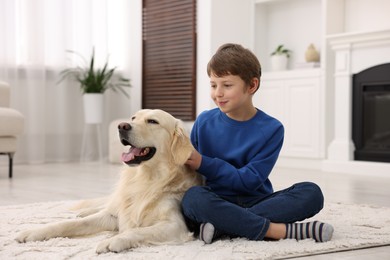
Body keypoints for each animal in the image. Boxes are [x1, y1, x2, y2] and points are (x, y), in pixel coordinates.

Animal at [16, 108, 203, 253]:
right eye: (133, 118)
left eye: (152, 121)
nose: (122, 126)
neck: (145, 179)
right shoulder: (113, 216)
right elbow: (70, 223)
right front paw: (34, 232)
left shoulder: (175, 225)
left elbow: (137, 231)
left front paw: (112, 240)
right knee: (104, 206)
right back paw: (85, 211)